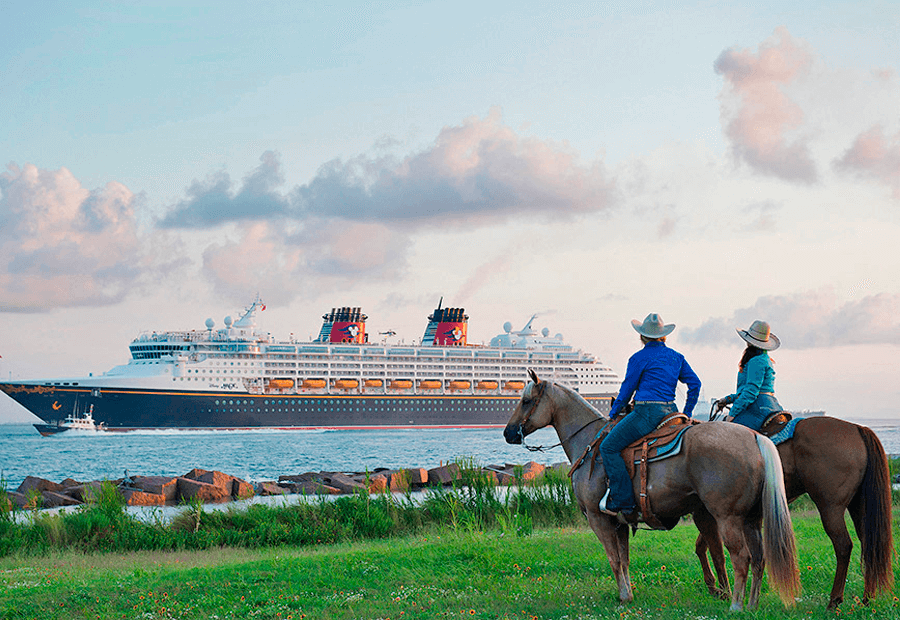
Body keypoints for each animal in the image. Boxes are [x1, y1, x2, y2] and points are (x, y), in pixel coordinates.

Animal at [506, 370, 800, 612]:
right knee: (759, 559)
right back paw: (751, 604)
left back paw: (736, 606)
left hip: (728, 518)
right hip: (751, 519)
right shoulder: (619, 522)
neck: (590, 442)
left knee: (741, 558)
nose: (509, 433)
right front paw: (627, 595)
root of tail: (755, 436)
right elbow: (624, 559)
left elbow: (613, 559)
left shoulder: (598, 518)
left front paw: (624, 596)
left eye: (526, 401)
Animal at [696, 414, 892, 608]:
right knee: (868, 543)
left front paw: (721, 591)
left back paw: (834, 600)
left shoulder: (714, 514)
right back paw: (867, 598)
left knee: (843, 546)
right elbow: (703, 547)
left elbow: (714, 551)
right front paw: (717, 589)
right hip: (858, 506)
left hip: (830, 508)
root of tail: (858, 428)